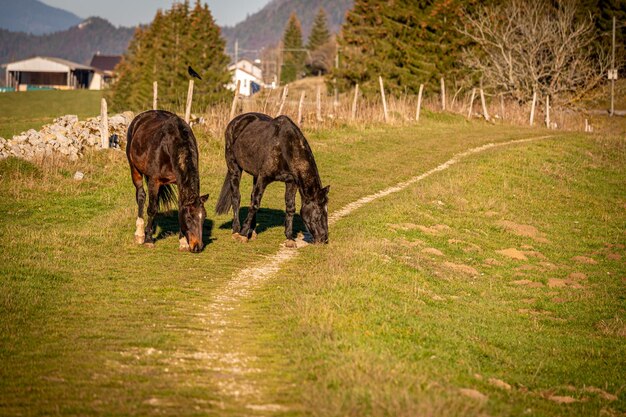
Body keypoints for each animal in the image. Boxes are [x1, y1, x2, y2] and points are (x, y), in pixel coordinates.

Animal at [125, 109, 208, 252]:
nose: (197, 246)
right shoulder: (154, 180)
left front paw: (182, 242)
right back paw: (140, 233)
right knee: (141, 196)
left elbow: (178, 206)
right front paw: (148, 240)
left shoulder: (179, 182)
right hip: (135, 169)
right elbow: (151, 209)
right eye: (189, 218)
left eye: (203, 217)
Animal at [216, 112, 330, 245]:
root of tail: (236, 121)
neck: (285, 147)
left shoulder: (291, 182)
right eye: (319, 212)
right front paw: (243, 234)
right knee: (236, 198)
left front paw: (289, 238)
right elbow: (255, 204)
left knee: (251, 197)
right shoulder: (263, 178)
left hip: (255, 175)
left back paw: (252, 231)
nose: (324, 238)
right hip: (234, 168)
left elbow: (290, 207)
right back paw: (236, 230)